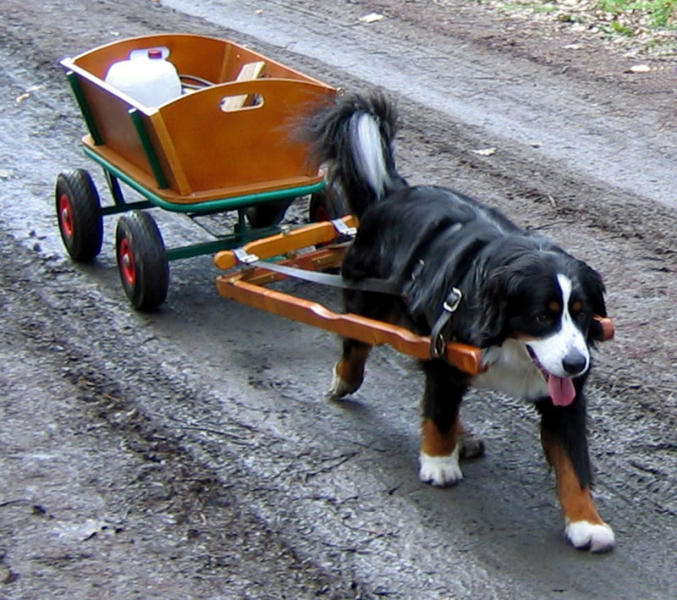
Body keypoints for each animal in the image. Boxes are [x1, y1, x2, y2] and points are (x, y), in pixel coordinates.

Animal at [304, 91, 616, 552]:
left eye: (581, 313)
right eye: (541, 315)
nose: (576, 363)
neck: (509, 344)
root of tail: (394, 193)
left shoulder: (564, 393)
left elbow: (573, 462)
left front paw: (586, 522)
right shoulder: (444, 349)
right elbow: (439, 410)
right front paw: (438, 462)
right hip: (371, 301)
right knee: (356, 344)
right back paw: (345, 381)